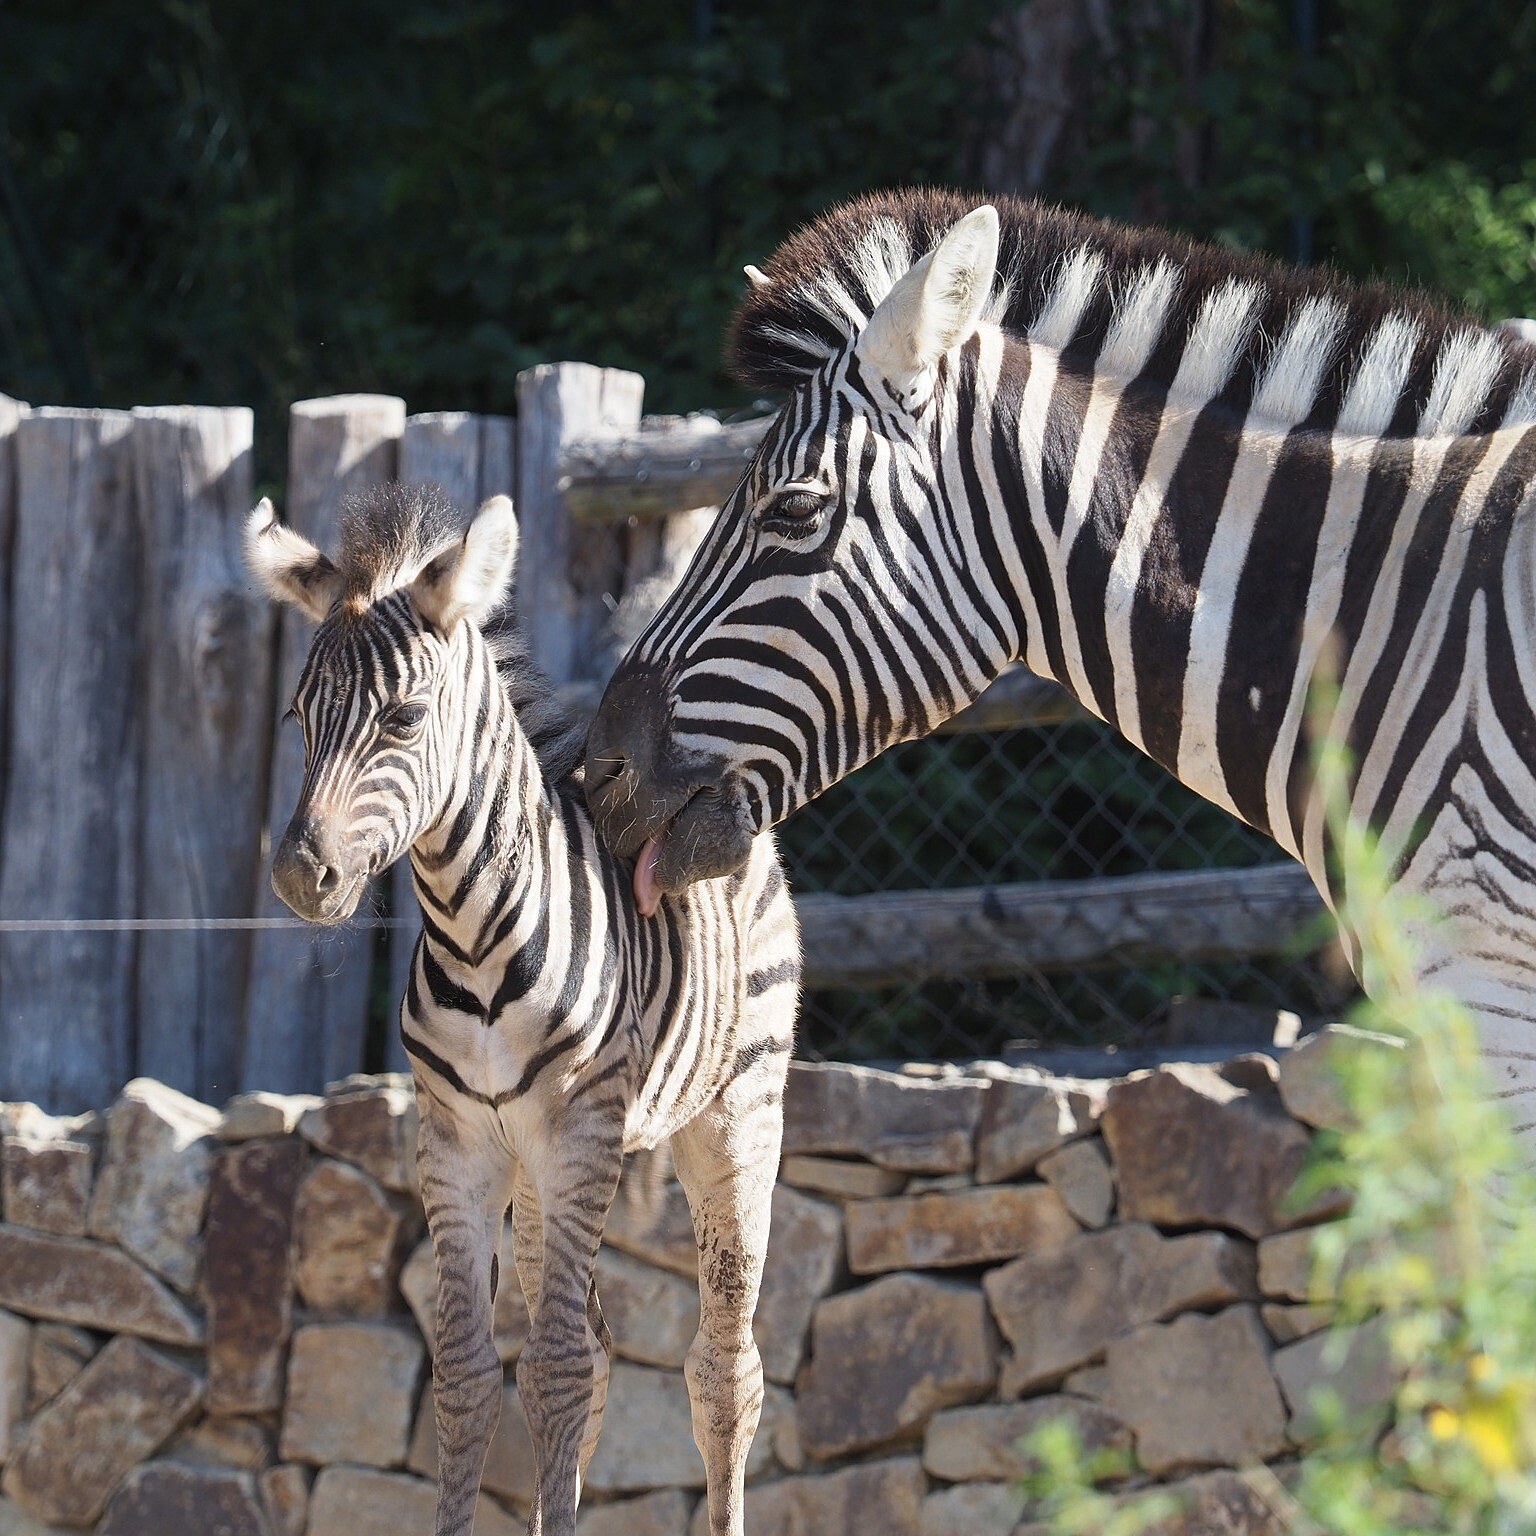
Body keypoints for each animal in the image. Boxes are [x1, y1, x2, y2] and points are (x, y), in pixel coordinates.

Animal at [245, 484, 799, 1536]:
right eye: (296, 715)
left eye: (404, 719)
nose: (298, 877)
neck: (474, 936)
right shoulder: (455, 1143)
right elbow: (472, 1377)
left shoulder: (581, 1129)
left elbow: (556, 1368)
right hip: (539, 1172)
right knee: (593, 1360)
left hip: (733, 1116)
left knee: (723, 1370)